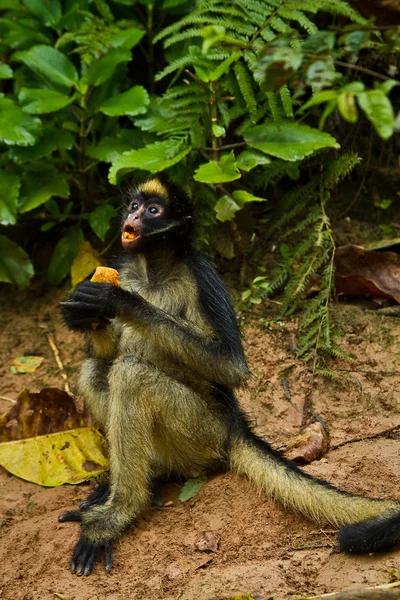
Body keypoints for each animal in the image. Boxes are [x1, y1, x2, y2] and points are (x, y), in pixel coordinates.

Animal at [60, 177, 400, 576]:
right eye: (133, 205)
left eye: (153, 210)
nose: (134, 216)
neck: (152, 272)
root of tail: (234, 425)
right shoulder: (128, 269)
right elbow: (104, 355)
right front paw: (85, 313)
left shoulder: (200, 274)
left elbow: (230, 367)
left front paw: (118, 301)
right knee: (97, 369)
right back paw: (146, 477)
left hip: (202, 434)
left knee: (130, 373)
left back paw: (120, 511)